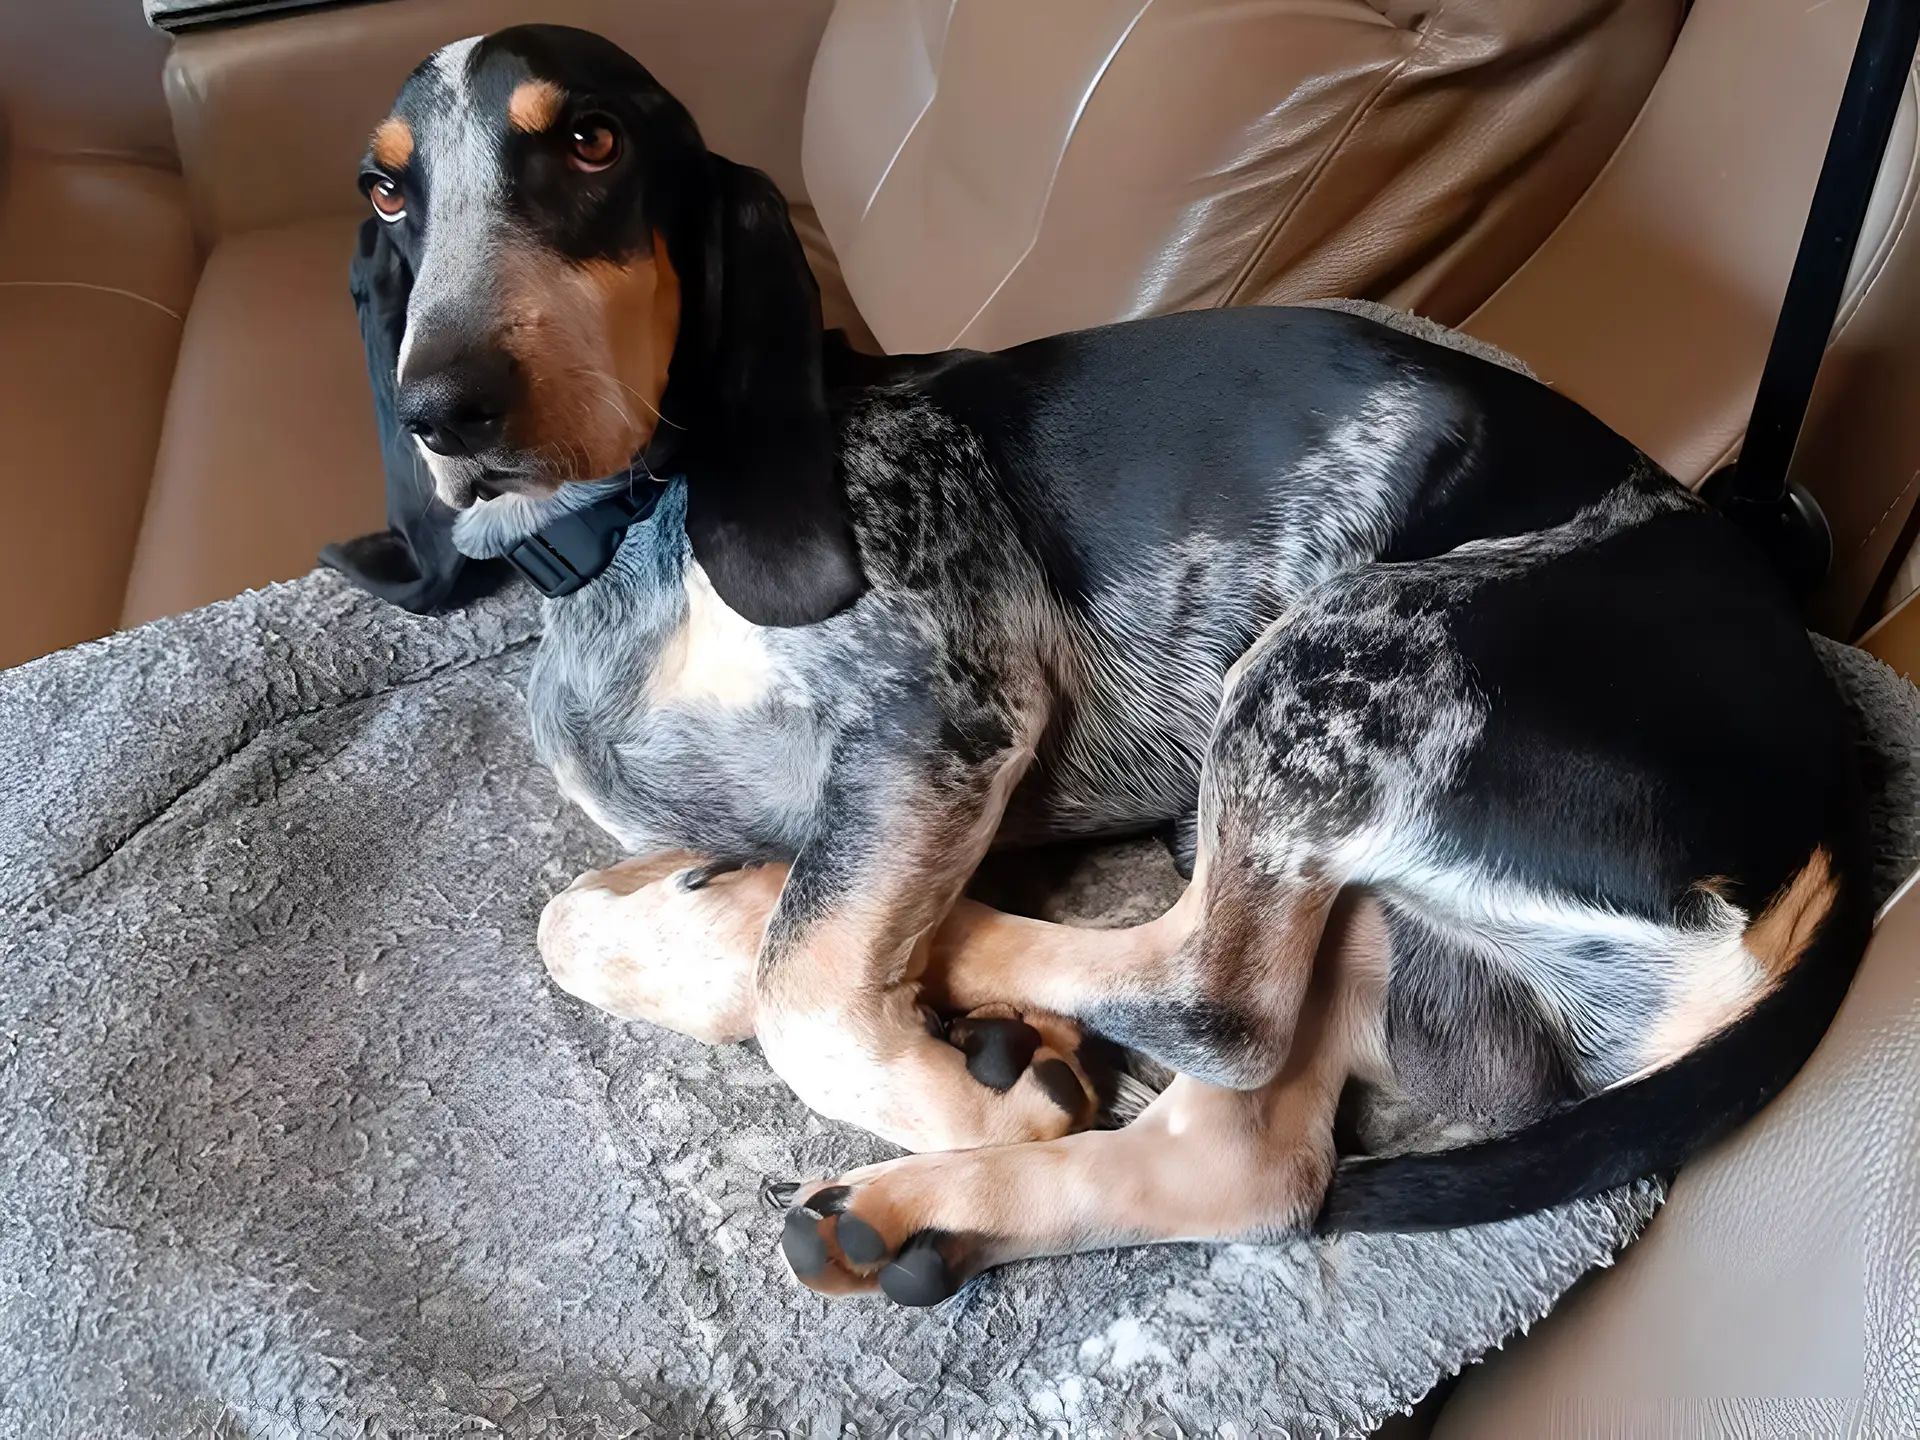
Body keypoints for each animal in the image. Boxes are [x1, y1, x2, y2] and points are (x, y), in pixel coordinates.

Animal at [366, 25, 1866, 1305]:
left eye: (593, 144)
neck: (639, 538)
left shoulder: (946, 710)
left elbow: (807, 981)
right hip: (1364, 887)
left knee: (1206, 995)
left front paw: (950, 1077)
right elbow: (565, 924)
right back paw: (922, 1200)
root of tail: (1831, 838)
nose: (447, 404)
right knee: (1249, 1158)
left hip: (1334, 663)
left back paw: (895, 974)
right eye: (388, 192)